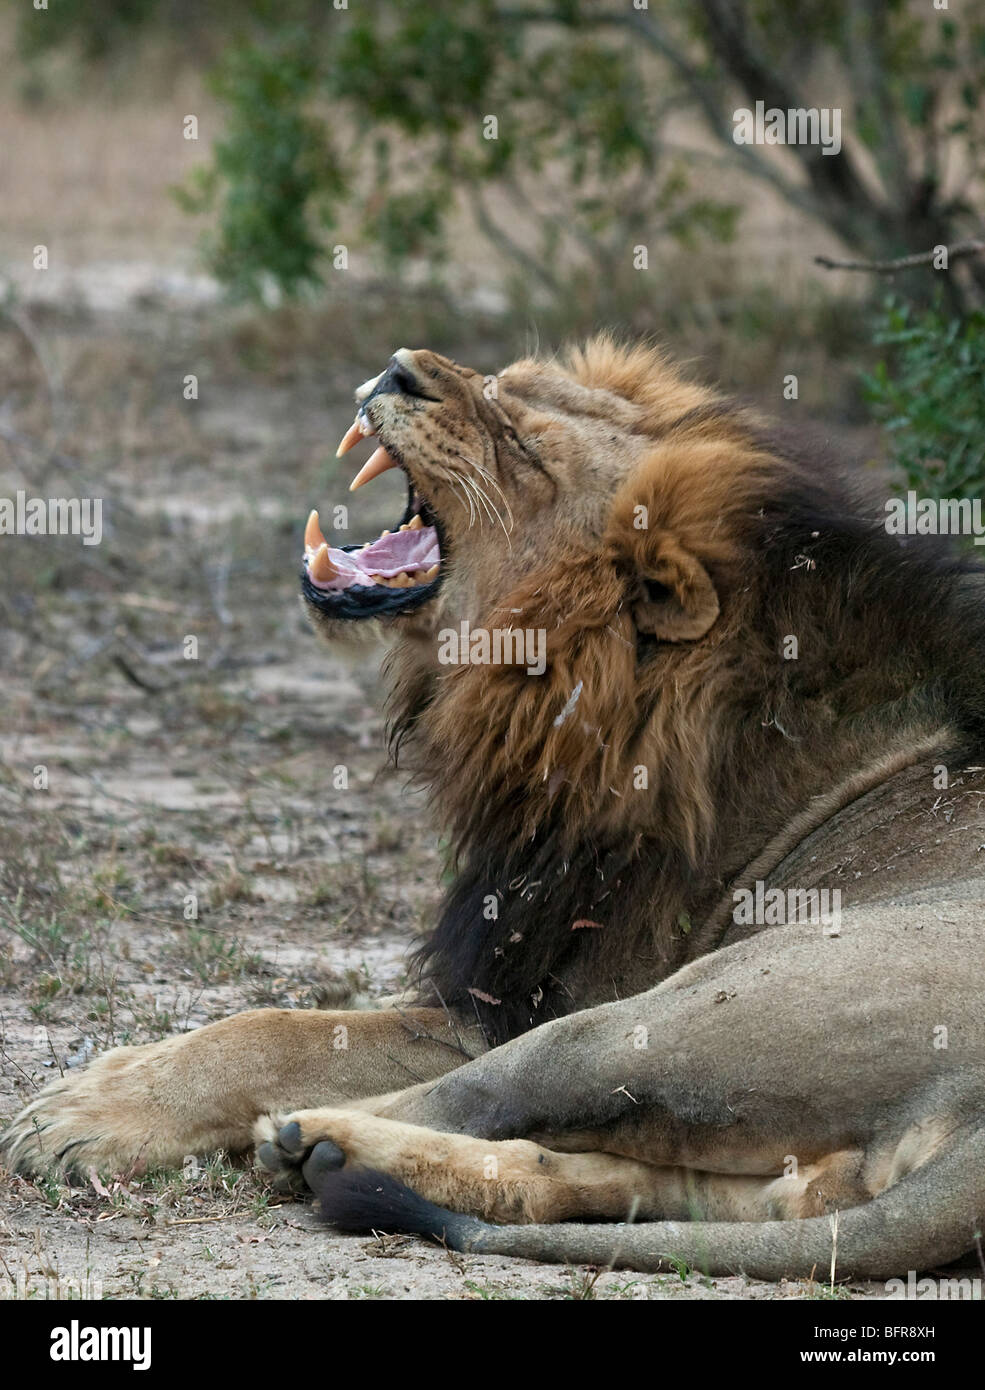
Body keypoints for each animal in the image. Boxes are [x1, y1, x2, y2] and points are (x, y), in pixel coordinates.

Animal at [5, 339, 983, 1278]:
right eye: (507, 383)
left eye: (521, 445)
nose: (399, 368)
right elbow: (284, 1024)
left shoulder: (532, 998)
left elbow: (278, 1030)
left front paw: (84, 1111)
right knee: (687, 1195)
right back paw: (343, 1159)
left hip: (656, 1018)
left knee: (475, 1099)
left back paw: (310, 1136)